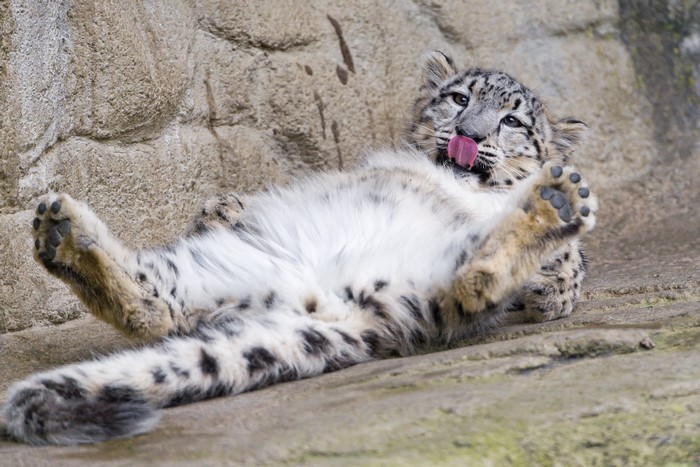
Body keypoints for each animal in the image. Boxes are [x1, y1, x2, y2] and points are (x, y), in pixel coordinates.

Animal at [1, 51, 597, 445]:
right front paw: (220, 208)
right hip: (216, 267)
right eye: (459, 97)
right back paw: (65, 236)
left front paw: (557, 272)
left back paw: (552, 205)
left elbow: (572, 270)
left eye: (512, 119)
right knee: (155, 302)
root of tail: (341, 301)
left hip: (424, 280)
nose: (469, 133)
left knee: (475, 282)